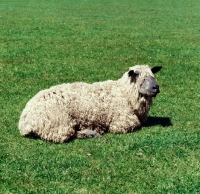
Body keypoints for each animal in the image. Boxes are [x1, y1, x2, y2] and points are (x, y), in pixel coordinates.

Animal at [18, 65, 162, 142]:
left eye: (152, 75)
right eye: (139, 76)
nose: (156, 87)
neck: (124, 92)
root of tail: (25, 121)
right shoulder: (122, 123)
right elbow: (133, 125)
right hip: (59, 123)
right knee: (67, 135)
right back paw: (91, 133)